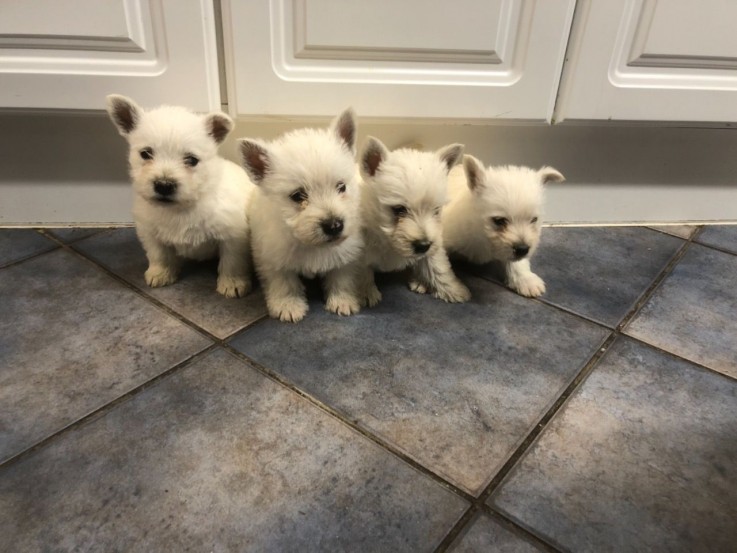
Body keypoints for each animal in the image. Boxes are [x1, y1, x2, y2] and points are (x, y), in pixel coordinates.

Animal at [105, 94, 256, 298]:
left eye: (192, 160)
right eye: (146, 153)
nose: (164, 185)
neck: (182, 206)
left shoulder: (232, 236)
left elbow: (232, 262)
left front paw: (232, 284)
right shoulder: (150, 232)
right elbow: (159, 255)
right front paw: (160, 273)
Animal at [236, 109, 362, 322]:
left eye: (341, 186)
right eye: (298, 196)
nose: (334, 225)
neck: (310, 244)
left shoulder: (347, 252)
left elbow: (342, 276)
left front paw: (343, 301)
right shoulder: (272, 256)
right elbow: (284, 282)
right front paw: (288, 306)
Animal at [358, 136, 472, 304]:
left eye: (436, 210)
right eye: (399, 209)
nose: (423, 245)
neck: (388, 241)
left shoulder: (434, 243)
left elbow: (437, 267)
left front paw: (453, 290)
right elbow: (361, 273)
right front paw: (365, 293)